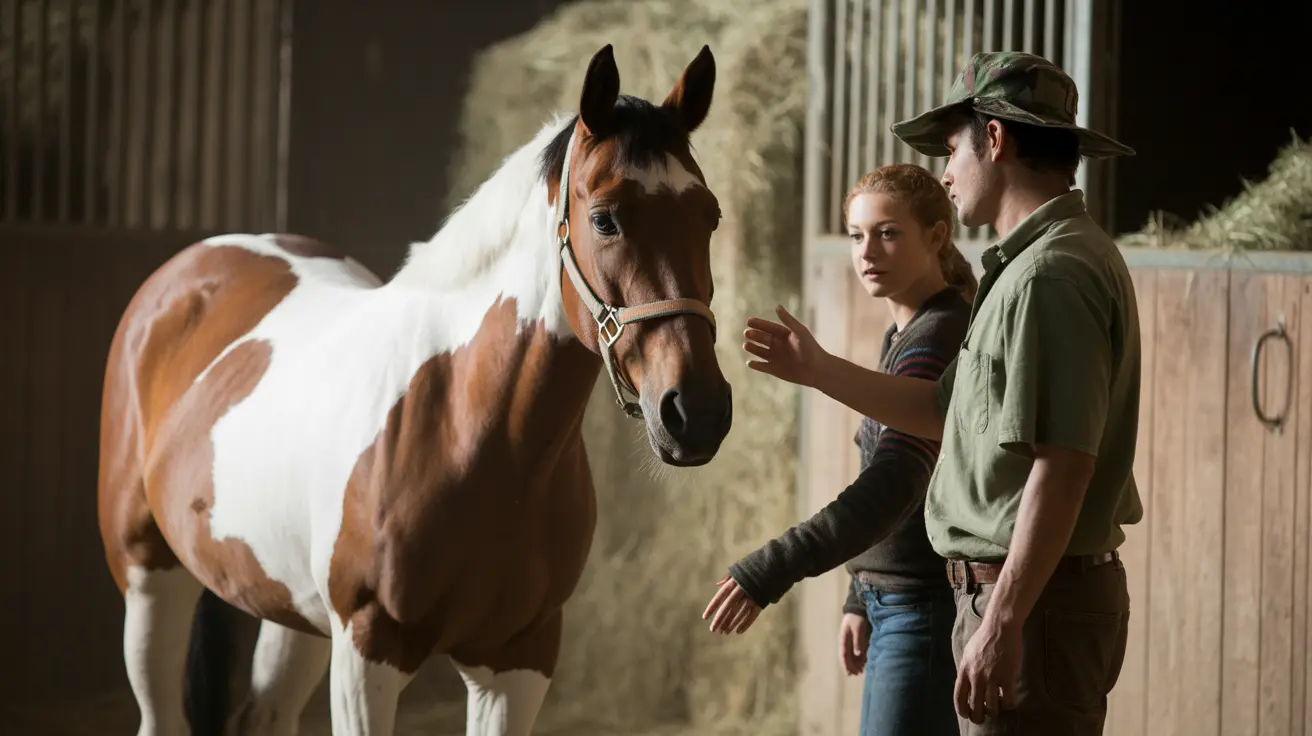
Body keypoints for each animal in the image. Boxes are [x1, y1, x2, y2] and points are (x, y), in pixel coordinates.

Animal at [96, 43, 732, 736]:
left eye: (710, 216)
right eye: (604, 219)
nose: (697, 412)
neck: (465, 430)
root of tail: (194, 267)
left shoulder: (519, 662)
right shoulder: (367, 651)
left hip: (291, 613)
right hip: (150, 579)